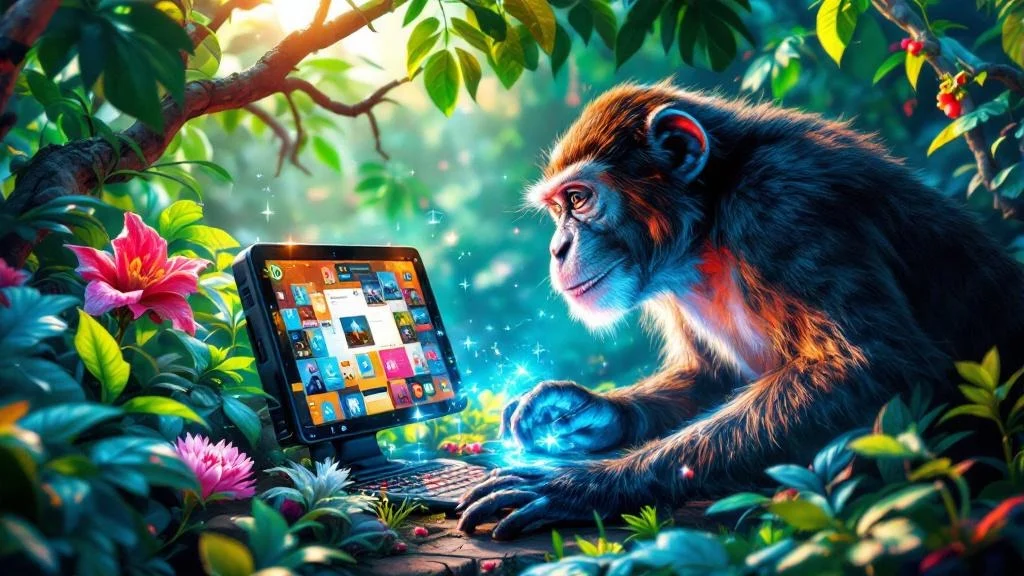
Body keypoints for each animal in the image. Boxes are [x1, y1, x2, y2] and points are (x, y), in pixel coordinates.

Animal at [455, 82, 1024, 540]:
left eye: (578, 199)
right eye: (557, 208)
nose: (557, 248)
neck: (708, 226)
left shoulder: (783, 203)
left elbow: (875, 365)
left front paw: (584, 485)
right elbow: (709, 376)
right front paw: (575, 414)